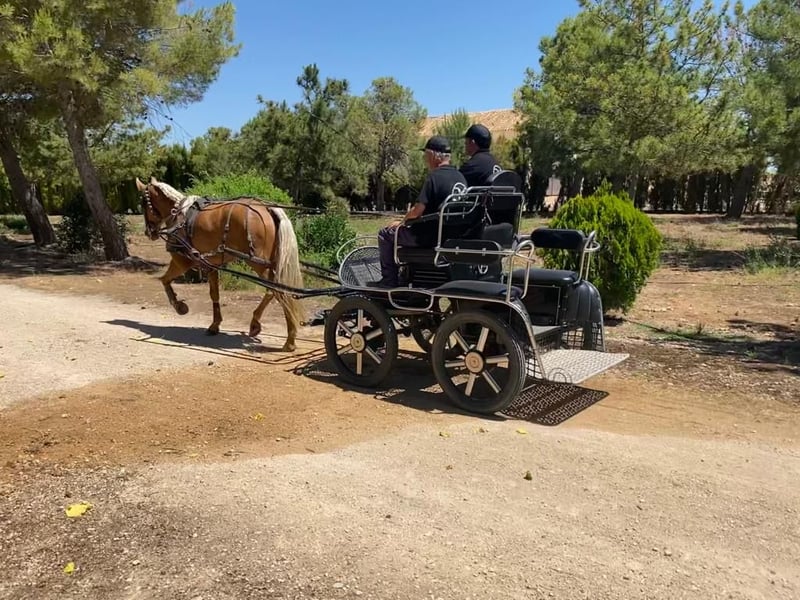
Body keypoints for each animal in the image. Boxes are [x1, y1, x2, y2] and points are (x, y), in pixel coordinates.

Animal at [135, 176, 304, 352]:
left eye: (143, 203)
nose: (149, 232)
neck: (180, 215)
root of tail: (268, 208)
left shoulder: (181, 261)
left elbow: (164, 280)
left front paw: (180, 307)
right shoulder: (210, 265)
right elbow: (214, 294)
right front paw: (215, 325)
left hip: (258, 264)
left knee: (278, 291)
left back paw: (289, 339)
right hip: (272, 263)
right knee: (275, 291)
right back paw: (258, 325)